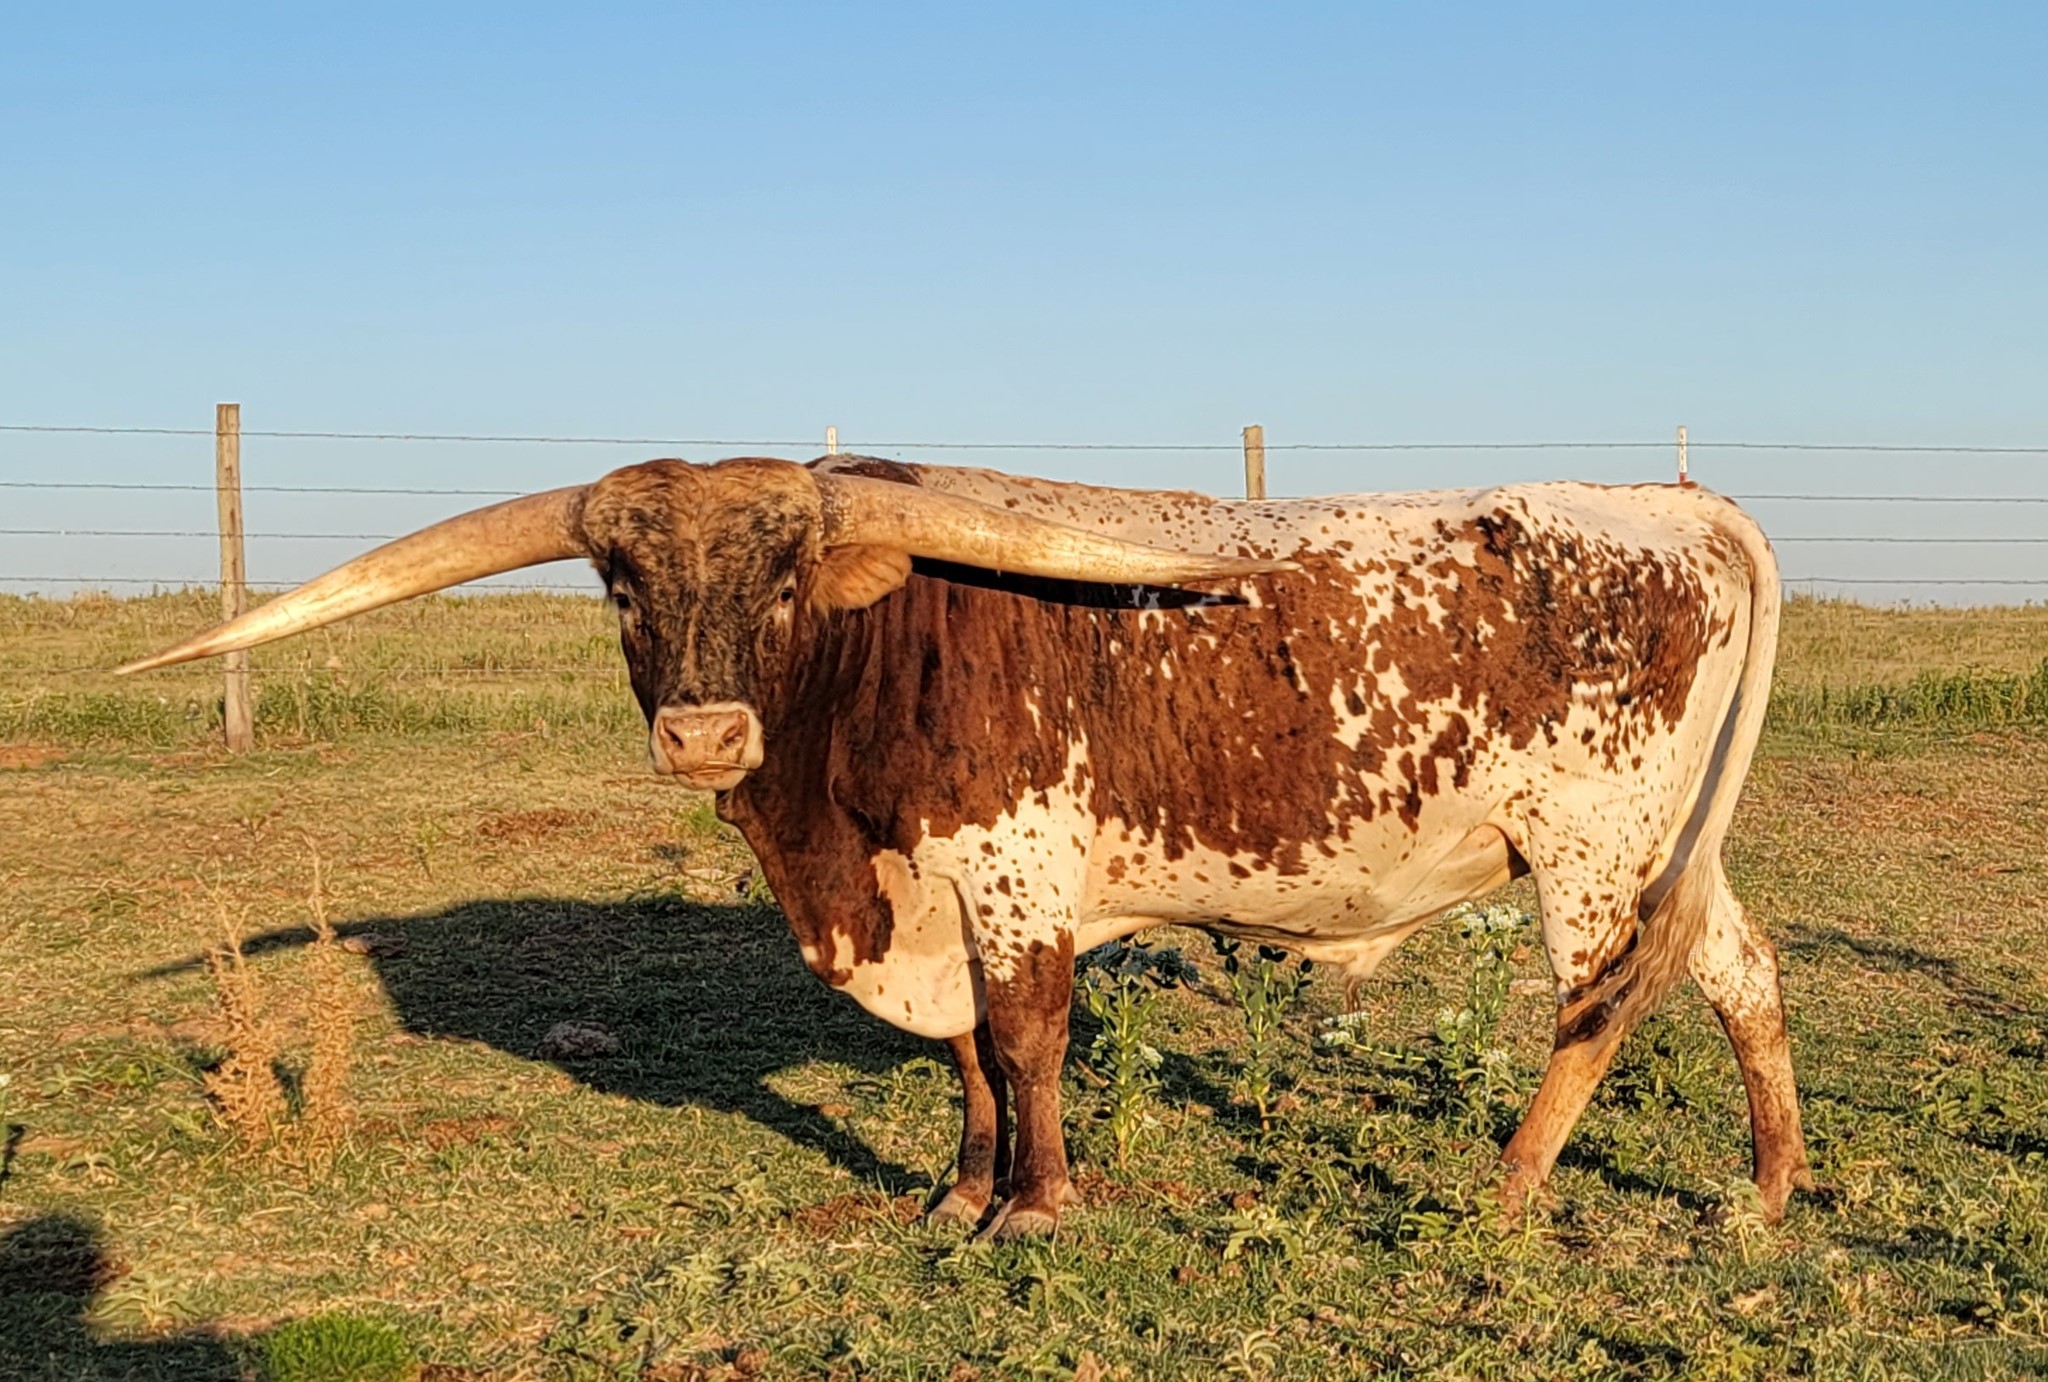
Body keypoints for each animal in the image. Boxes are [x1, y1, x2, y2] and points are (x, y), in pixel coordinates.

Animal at [123, 455, 1811, 1239]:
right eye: (618, 582)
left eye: (786, 578)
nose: (704, 736)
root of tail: (1664, 497)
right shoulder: (930, 895)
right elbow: (964, 1056)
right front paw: (957, 1187)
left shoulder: (1013, 875)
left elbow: (1028, 1035)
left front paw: (1037, 1203)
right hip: (1664, 840)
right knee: (1740, 969)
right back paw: (1769, 1186)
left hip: (1587, 847)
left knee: (1600, 1003)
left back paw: (1513, 1183)